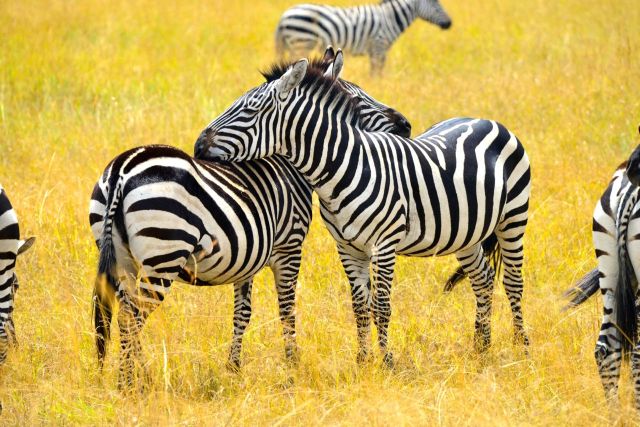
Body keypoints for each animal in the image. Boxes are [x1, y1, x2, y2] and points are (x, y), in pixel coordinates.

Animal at [89, 50, 411, 388]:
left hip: (122, 257)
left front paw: (233, 367)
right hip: (163, 256)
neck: (289, 165)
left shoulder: (247, 255)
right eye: (358, 100)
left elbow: (242, 313)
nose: (405, 125)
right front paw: (293, 366)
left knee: (123, 312)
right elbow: (286, 308)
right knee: (131, 317)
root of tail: (123, 169)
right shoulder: (289, 248)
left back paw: (142, 376)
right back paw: (128, 384)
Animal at [194, 59, 531, 367]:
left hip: (513, 219)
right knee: (483, 279)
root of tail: (484, 119)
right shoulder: (347, 247)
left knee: (513, 282)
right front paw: (363, 360)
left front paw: (387, 362)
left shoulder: (384, 245)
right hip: (466, 233)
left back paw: (521, 347)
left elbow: (381, 306)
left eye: (249, 111)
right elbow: (359, 305)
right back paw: (481, 347)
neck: (343, 167)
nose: (197, 147)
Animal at [275, 0, 452, 75]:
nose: (449, 24)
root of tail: (283, 16)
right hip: (302, 42)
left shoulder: (375, 50)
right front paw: (378, 82)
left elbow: (375, 70)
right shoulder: (379, 46)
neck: (390, 18)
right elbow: (377, 71)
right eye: (436, 4)